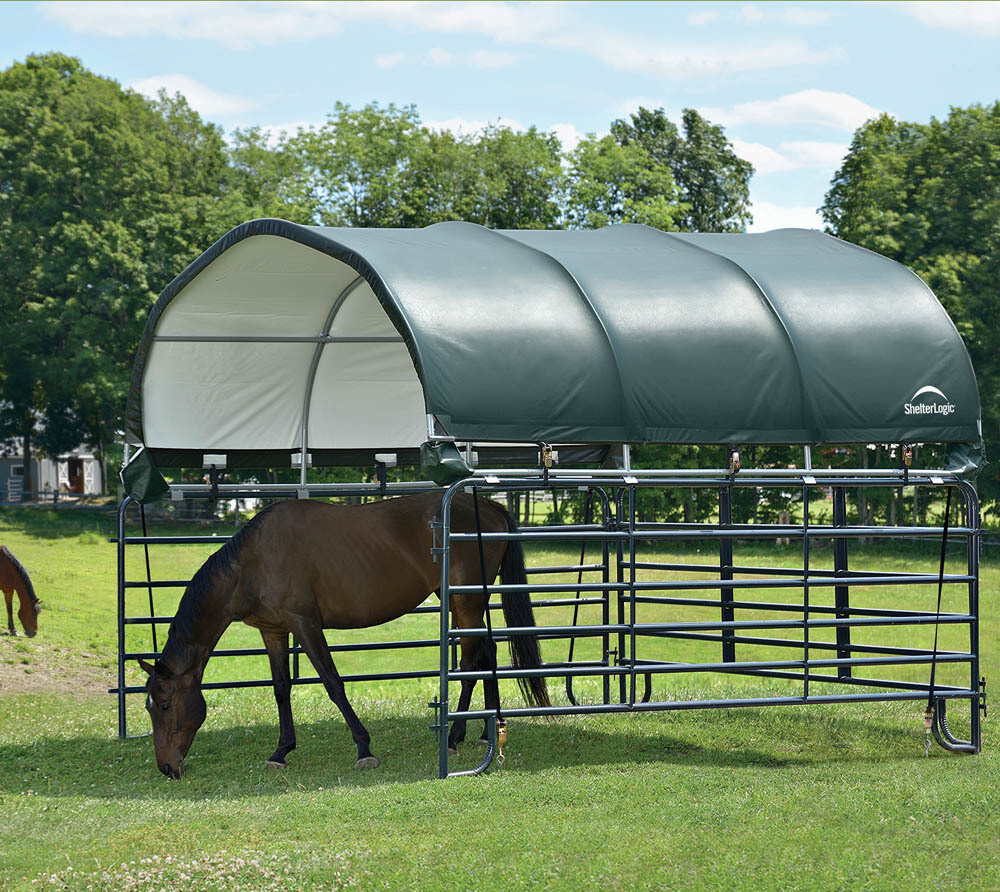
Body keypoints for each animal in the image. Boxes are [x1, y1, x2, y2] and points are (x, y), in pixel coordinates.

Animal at [138, 492, 552, 776]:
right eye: (150, 707)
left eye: (165, 705)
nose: (167, 767)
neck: (252, 561)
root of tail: (490, 506)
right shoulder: (274, 631)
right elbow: (281, 688)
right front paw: (280, 752)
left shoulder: (305, 624)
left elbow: (333, 684)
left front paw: (364, 749)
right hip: (464, 600)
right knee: (487, 651)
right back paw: (485, 730)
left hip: (465, 603)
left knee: (469, 660)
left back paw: (454, 737)